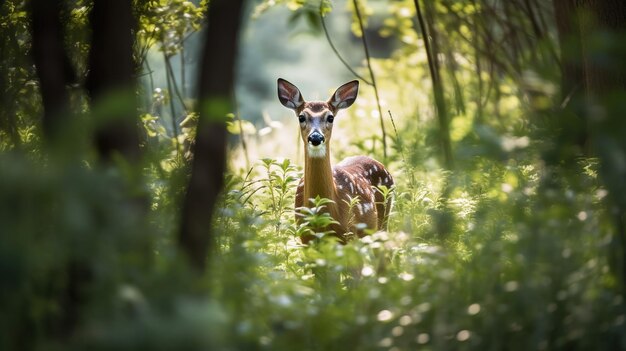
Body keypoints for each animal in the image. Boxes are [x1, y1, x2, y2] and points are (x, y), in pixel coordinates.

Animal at [276, 79, 392, 245]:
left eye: (330, 117)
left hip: (382, 221)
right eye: (301, 117)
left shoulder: (349, 234)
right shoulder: (305, 238)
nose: (316, 137)